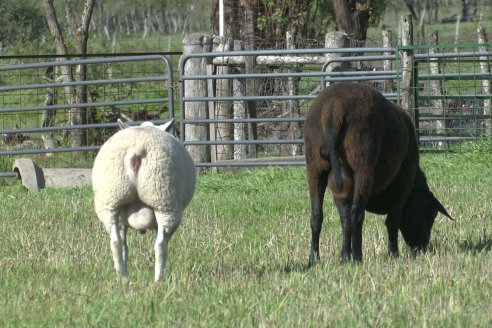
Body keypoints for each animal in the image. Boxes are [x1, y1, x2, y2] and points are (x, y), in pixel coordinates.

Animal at [91, 118, 195, 282]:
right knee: (160, 245)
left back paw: (123, 278)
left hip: (110, 201)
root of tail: (137, 148)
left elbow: (125, 247)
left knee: (115, 242)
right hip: (164, 201)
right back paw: (159, 279)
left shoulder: (122, 220)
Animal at [304, 82, 454, 264]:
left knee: (317, 215)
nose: (423, 248)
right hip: (363, 166)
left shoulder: (341, 191)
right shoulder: (403, 184)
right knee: (357, 213)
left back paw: (314, 258)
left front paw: (344, 256)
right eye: (431, 215)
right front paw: (393, 254)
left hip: (315, 168)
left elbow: (344, 219)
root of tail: (333, 107)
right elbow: (392, 221)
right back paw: (358, 257)